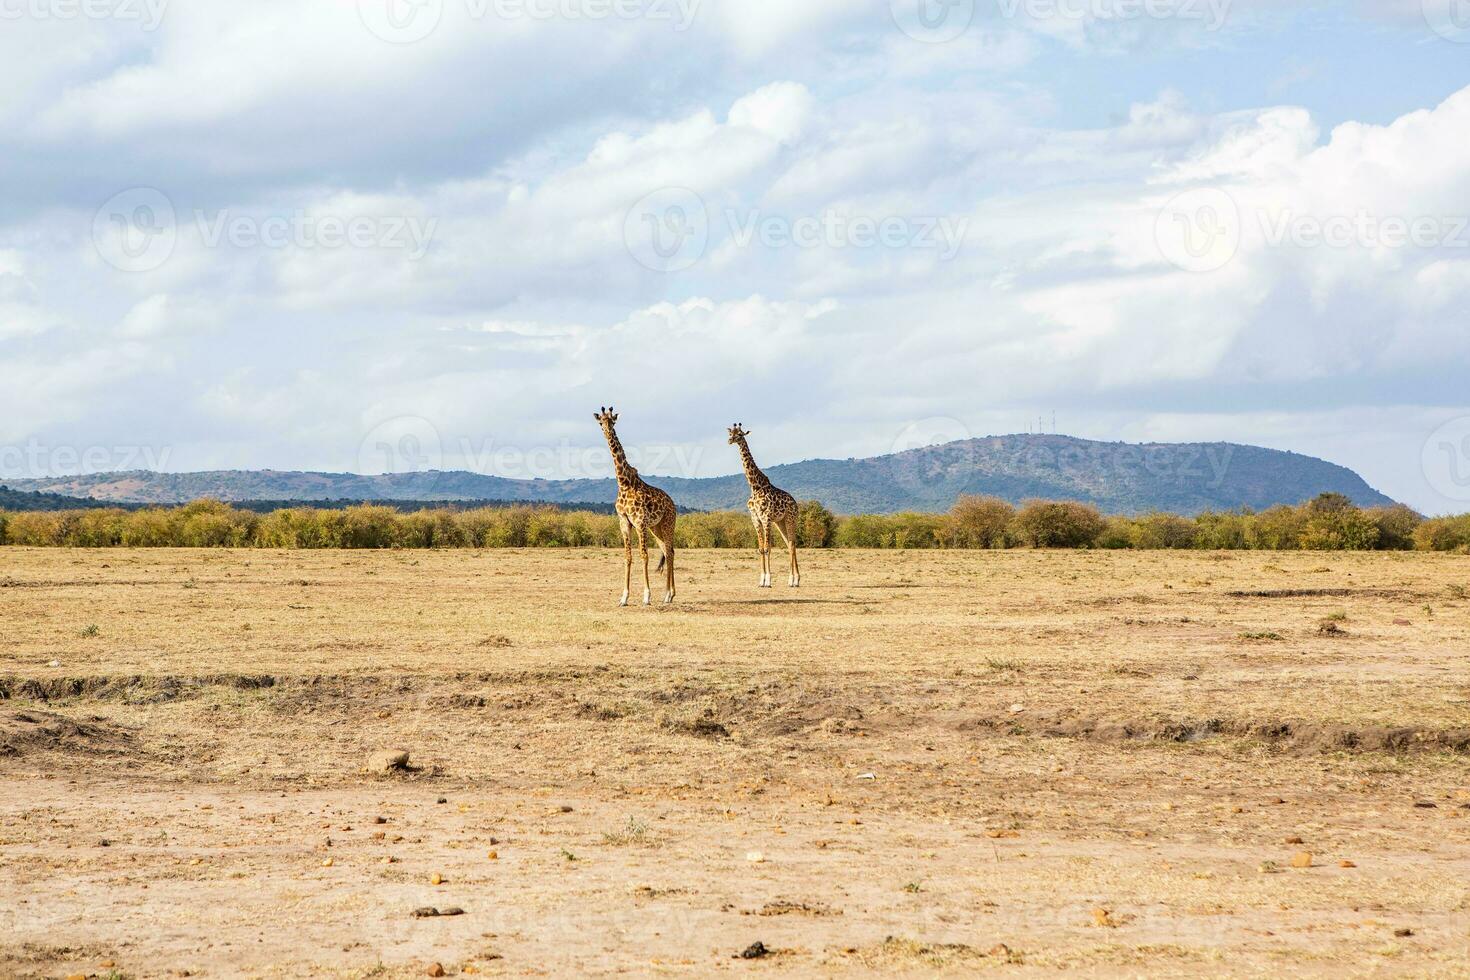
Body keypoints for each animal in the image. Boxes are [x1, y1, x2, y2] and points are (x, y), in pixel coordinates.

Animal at [590, 405, 676, 605]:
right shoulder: (624, 523)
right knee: (668, 551)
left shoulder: (640, 523)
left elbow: (644, 555)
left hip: (668, 524)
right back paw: (669, 594)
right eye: (600, 422)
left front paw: (646, 596)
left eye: (612, 421)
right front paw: (624, 597)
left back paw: (668, 595)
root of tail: (673, 504)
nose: (607, 431)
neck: (624, 483)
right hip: (656, 528)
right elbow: (627, 557)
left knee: (669, 552)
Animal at [726, 423, 799, 590]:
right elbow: (760, 549)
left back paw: (793, 580)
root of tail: (796, 504)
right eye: (731, 433)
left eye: (740, 434)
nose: (730, 440)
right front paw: (761, 580)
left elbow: (767, 548)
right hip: (780, 522)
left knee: (792, 544)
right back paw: (796, 579)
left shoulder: (766, 518)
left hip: (790, 519)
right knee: (789, 544)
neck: (755, 486)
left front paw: (768, 581)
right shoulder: (755, 519)